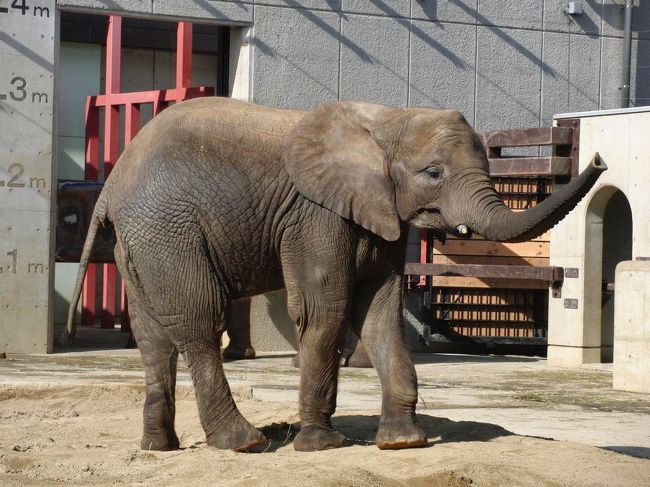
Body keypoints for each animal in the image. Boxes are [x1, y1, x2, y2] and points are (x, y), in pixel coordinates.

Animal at [63, 98, 604, 454]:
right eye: (433, 173)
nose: (598, 158)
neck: (386, 121)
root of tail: (111, 187)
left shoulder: (380, 212)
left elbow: (381, 313)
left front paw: (404, 443)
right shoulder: (315, 216)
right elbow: (325, 309)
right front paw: (322, 444)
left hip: (141, 241)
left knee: (153, 338)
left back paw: (159, 448)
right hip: (167, 229)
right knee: (198, 323)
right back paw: (242, 443)